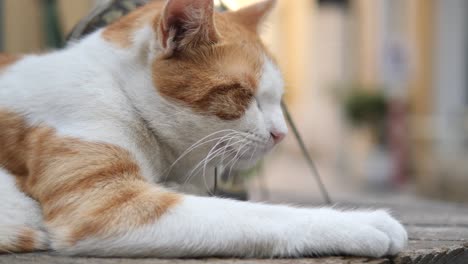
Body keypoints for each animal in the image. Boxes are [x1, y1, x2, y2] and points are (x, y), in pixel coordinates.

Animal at [0, 0, 406, 258]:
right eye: (244, 94)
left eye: (278, 98)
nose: (281, 135)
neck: (117, 87)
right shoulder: (107, 206)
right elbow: (253, 214)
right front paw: (361, 223)